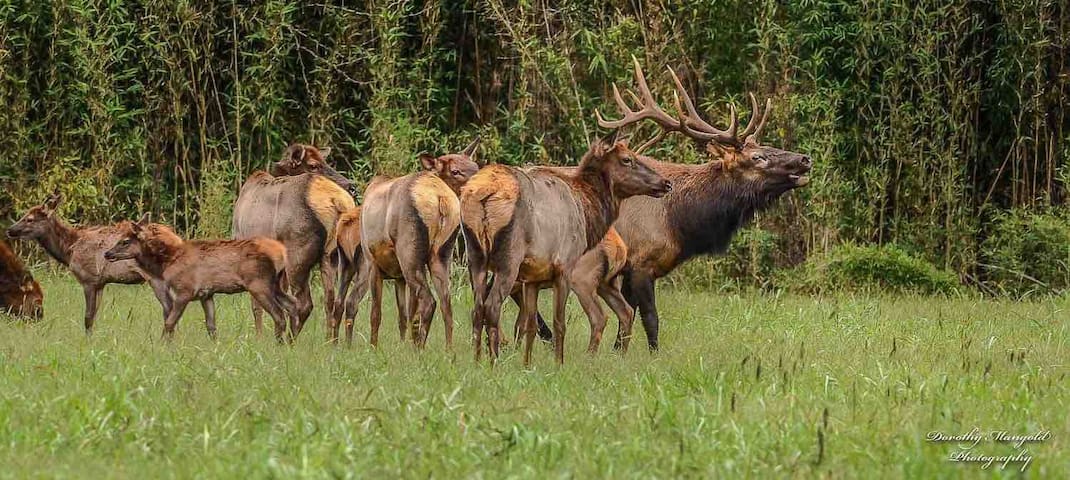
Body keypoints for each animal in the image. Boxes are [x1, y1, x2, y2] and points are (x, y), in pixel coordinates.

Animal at [6, 190, 170, 333]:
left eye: (29, 219)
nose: (10, 229)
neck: (69, 249)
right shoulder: (100, 283)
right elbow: (94, 316)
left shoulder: (88, 279)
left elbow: (88, 318)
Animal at [233, 144, 357, 337]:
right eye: (314, 165)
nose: (352, 187)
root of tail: (337, 201)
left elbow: (256, 305)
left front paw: (259, 336)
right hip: (332, 255)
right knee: (332, 300)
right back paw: (330, 339)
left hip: (297, 253)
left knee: (304, 303)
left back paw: (290, 338)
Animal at [357, 136, 483, 346]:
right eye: (455, 171)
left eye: (476, 166)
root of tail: (441, 198)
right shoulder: (397, 275)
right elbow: (405, 315)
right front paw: (402, 343)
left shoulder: (372, 260)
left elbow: (376, 313)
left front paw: (373, 347)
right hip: (440, 254)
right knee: (446, 304)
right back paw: (448, 349)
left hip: (409, 252)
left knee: (430, 301)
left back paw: (419, 348)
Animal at [460, 130, 667, 363]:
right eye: (627, 159)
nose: (666, 182)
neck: (586, 211)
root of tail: (484, 193)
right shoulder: (564, 266)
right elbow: (559, 322)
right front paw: (559, 363)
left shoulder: (532, 277)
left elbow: (530, 325)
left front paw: (527, 364)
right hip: (510, 260)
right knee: (492, 307)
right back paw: (494, 362)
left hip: (475, 257)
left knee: (477, 309)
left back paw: (477, 361)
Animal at [594, 57, 808, 350]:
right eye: (757, 157)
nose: (805, 159)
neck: (679, 222)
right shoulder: (641, 263)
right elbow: (650, 319)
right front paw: (652, 355)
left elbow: (625, 318)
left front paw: (617, 352)